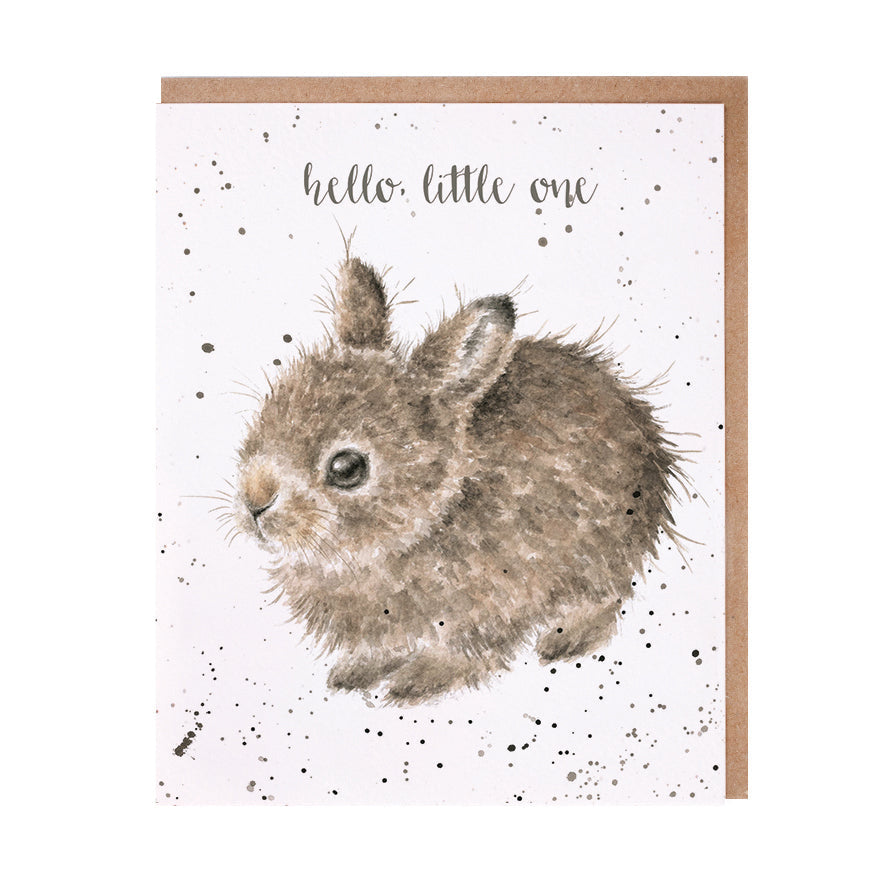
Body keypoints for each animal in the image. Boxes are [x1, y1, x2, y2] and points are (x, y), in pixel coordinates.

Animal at [231, 251, 686, 705]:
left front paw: (419, 682)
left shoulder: (491, 606)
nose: (255, 502)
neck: (429, 518)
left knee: (604, 599)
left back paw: (565, 640)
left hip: (601, 555)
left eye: (346, 468)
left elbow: (465, 653)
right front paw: (354, 672)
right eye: (268, 414)